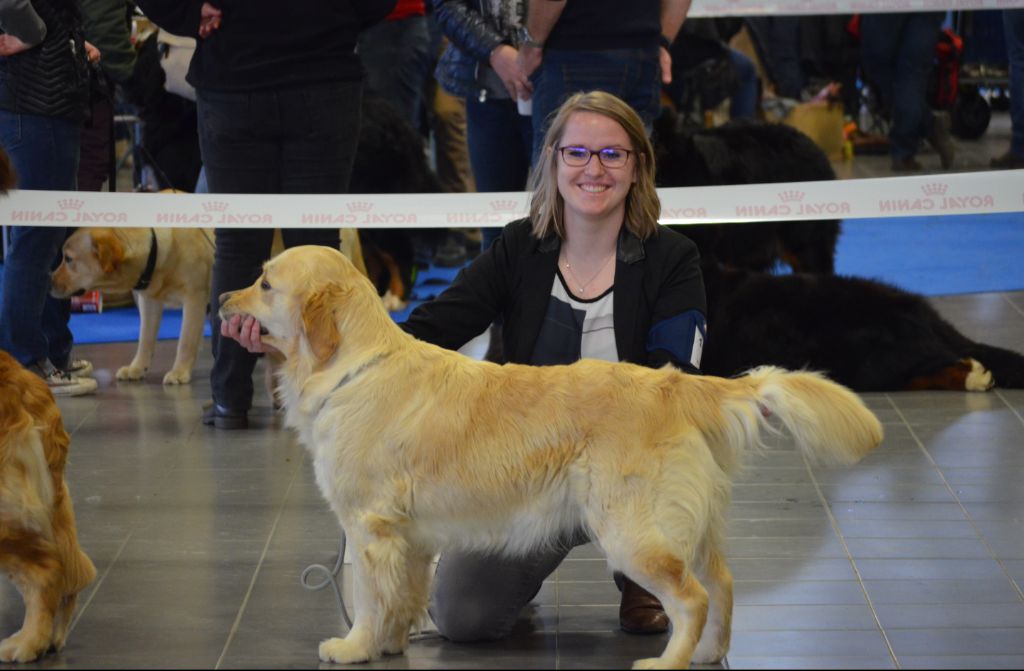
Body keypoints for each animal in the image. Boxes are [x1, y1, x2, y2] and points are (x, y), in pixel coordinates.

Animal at [51, 225, 214, 383]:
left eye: (68, 259)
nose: (48, 281)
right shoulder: (149, 301)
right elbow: (145, 339)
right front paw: (137, 368)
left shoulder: (194, 297)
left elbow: (186, 341)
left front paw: (179, 372)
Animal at [216, 247, 880, 671]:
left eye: (266, 284)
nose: (223, 298)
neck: (350, 366)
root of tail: (676, 384)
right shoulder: (411, 537)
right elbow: (403, 598)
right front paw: (391, 644)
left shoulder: (369, 525)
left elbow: (370, 596)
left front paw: (353, 647)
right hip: (691, 525)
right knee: (722, 582)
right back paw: (711, 653)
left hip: (631, 531)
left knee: (690, 596)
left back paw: (666, 662)